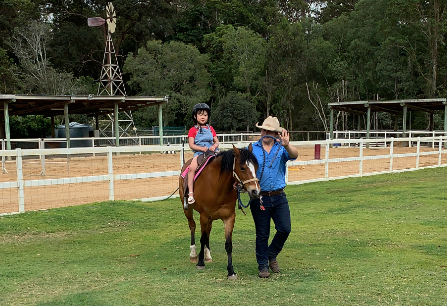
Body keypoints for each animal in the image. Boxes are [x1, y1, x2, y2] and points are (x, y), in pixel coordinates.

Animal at [179, 145, 260, 280]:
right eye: (242, 168)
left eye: (256, 167)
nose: (255, 191)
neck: (218, 186)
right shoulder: (204, 216)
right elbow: (202, 238)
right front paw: (200, 262)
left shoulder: (229, 217)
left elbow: (228, 244)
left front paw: (231, 271)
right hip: (188, 209)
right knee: (193, 226)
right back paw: (194, 254)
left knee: (208, 231)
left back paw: (207, 255)